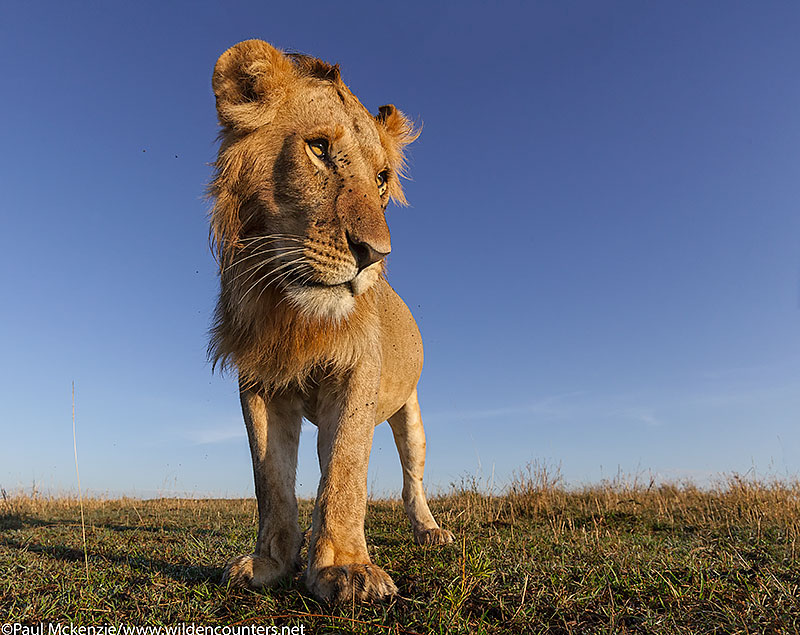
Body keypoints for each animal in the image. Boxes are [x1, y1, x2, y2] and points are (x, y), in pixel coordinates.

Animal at [206, 37, 454, 604]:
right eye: (318, 149)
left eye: (382, 179)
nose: (375, 255)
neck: (292, 312)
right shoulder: (258, 383)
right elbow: (272, 481)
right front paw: (271, 562)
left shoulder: (359, 373)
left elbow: (345, 472)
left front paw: (345, 568)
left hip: (410, 412)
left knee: (411, 478)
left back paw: (429, 530)